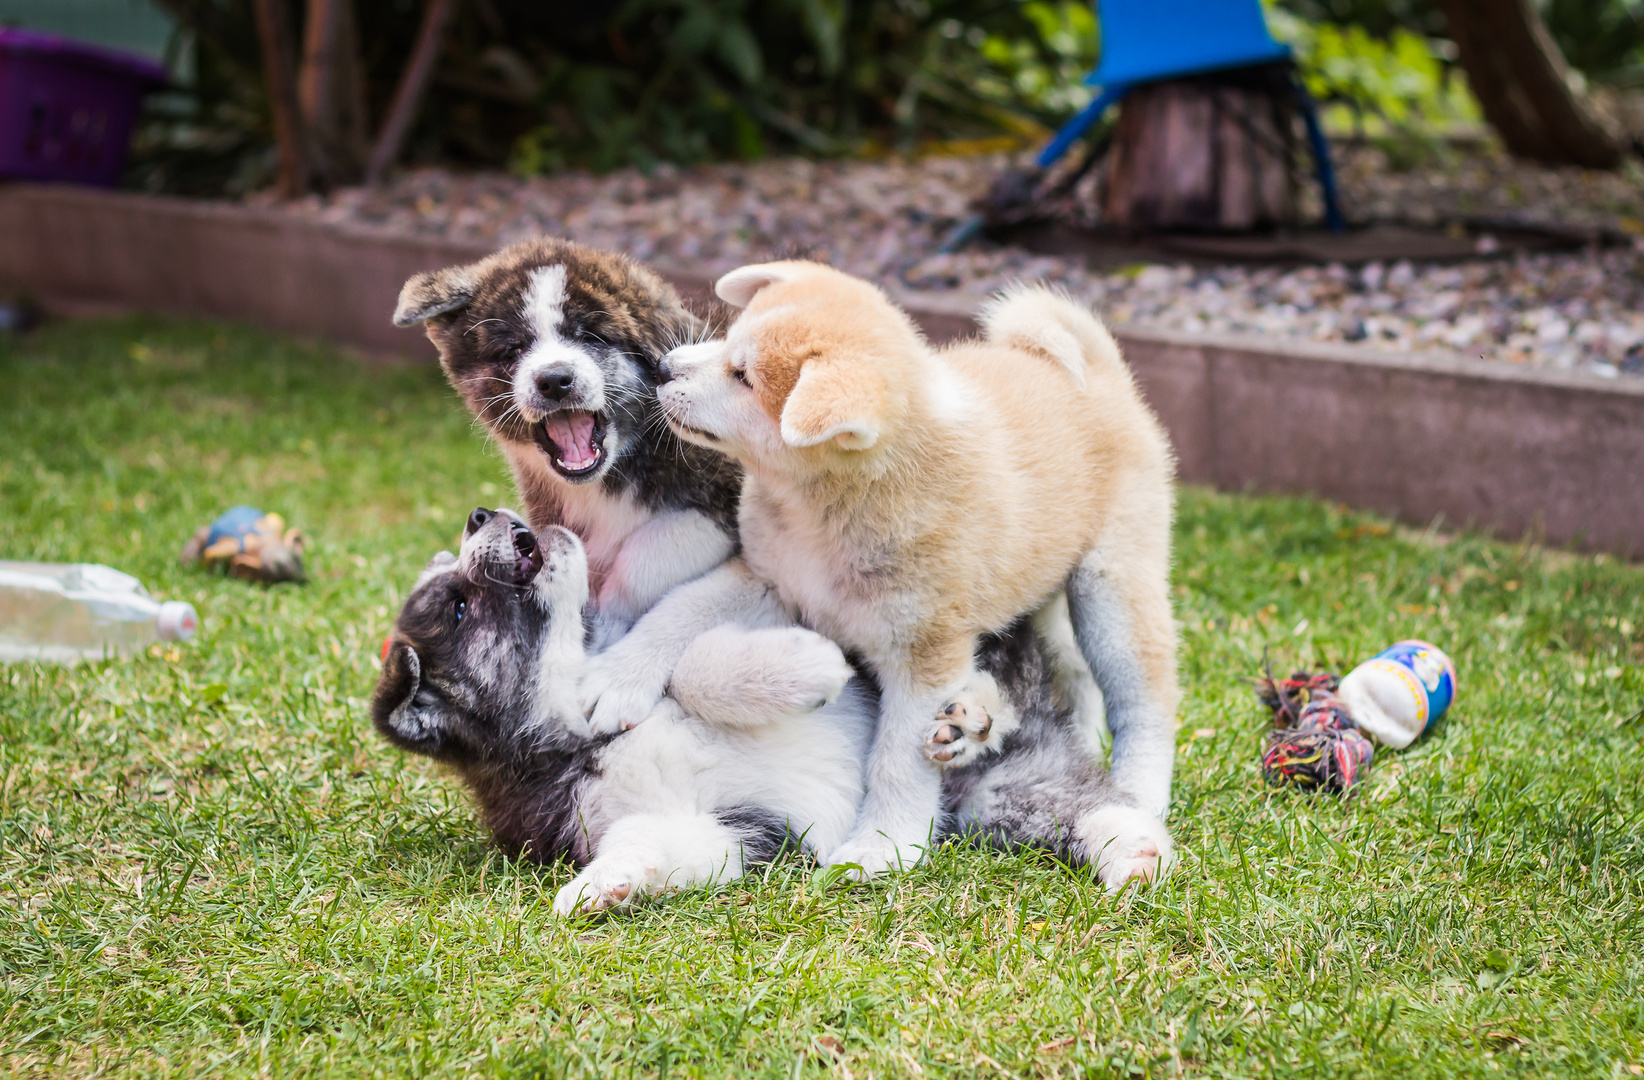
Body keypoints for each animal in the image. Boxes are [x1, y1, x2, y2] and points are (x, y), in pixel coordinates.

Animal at [654, 263, 1183, 874]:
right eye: (729, 340)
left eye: (742, 376)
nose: (663, 367)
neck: (821, 515)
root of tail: (1100, 373)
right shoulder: (767, 578)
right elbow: (678, 618)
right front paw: (613, 684)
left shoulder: (922, 655)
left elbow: (895, 765)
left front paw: (881, 847)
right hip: (1043, 589)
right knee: (1072, 671)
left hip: (1112, 589)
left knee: (1145, 702)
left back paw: (1139, 792)